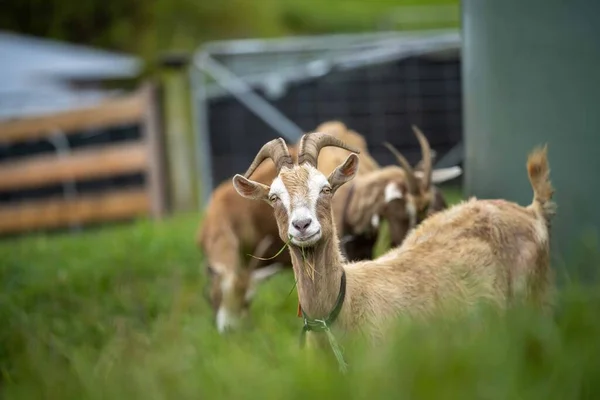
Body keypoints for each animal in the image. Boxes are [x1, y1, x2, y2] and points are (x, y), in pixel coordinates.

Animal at [232, 134, 556, 354]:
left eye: (325, 188)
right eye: (273, 197)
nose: (302, 225)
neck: (348, 304)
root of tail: (531, 211)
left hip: (536, 304)